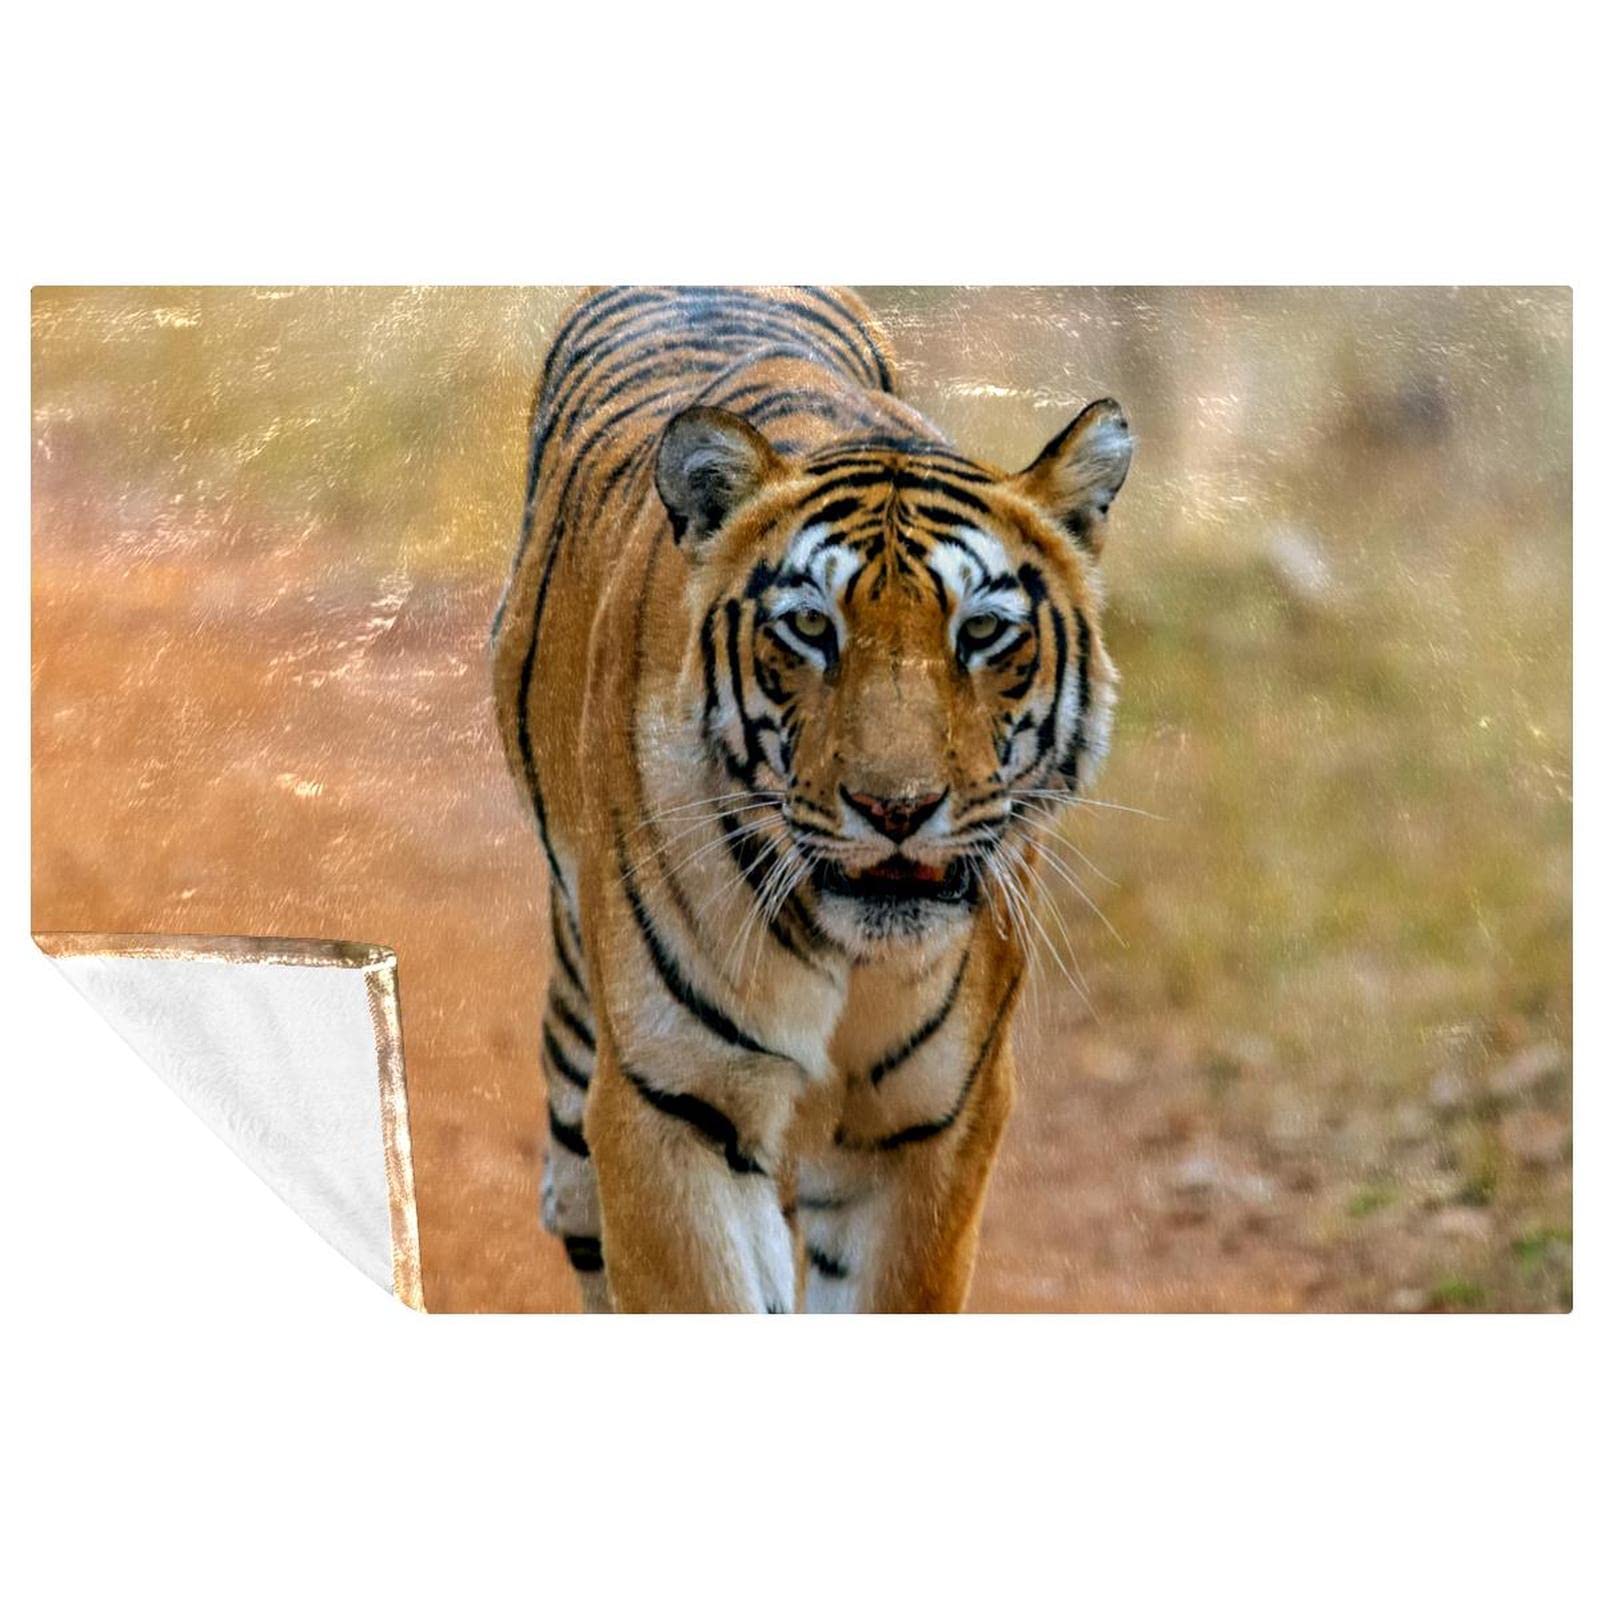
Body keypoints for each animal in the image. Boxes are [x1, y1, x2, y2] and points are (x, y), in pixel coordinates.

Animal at [491, 287, 1132, 1312]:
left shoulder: (933, 1122)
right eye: (807, 628)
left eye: (981, 632)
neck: (848, 954)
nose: (896, 808)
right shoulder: (673, 1103)